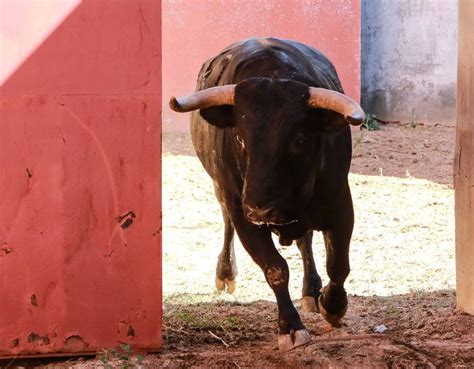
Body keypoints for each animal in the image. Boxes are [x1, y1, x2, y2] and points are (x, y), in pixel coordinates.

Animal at [168, 38, 364, 350]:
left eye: (300, 139)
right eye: (239, 138)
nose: (260, 208)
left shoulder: (340, 205)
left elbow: (338, 265)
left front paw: (332, 306)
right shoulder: (243, 215)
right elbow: (275, 268)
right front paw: (291, 327)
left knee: (305, 241)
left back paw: (311, 290)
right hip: (223, 192)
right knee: (227, 222)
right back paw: (225, 272)